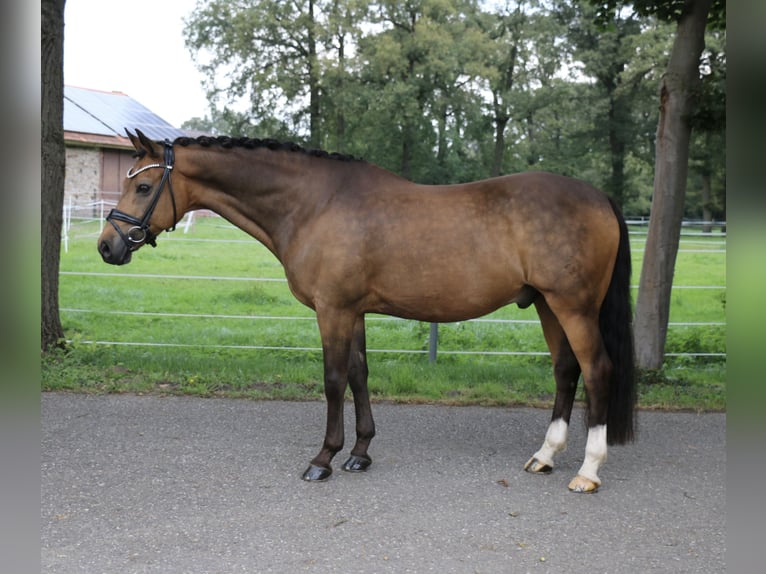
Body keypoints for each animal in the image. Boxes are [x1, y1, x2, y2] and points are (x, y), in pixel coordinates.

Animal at [99, 130, 636, 496]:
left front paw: (323, 458)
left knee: (596, 369)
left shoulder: (333, 309)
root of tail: (600, 197)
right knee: (566, 370)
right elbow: (360, 374)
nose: (107, 246)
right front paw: (359, 453)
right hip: (546, 304)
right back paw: (545, 456)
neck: (315, 204)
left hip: (573, 306)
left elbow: (334, 379)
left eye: (143, 188)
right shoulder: (353, 311)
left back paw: (587, 471)